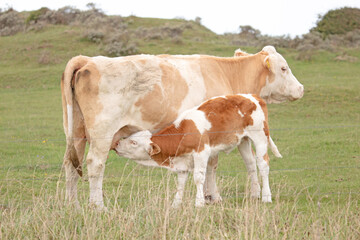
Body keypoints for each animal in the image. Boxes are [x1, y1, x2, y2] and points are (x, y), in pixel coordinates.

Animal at [114, 94, 282, 206]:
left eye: (134, 142)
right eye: (131, 137)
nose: (116, 144)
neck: (184, 130)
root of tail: (252, 96)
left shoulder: (202, 153)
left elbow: (198, 178)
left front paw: (199, 202)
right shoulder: (182, 162)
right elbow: (180, 183)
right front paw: (176, 204)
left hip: (260, 138)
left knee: (263, 166)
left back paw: (266, 196)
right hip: (243, 141)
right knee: (251, 165)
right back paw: (255, 194)